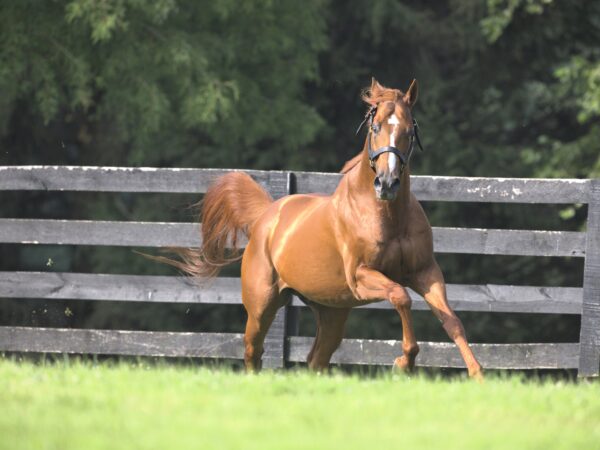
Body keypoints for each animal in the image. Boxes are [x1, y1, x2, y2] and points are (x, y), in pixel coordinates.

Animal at [156, 78, 482, 380]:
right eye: (375, 127)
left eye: (408, 132)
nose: (387, 184)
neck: (388, 215)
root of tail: (266, 215)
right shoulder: (361, 276)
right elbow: (401, 296)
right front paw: (404, 361)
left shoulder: (425, 272)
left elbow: (452, 322)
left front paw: (477, 374)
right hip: (262, 305)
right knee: (253, 351)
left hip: (331, 311)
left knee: (316, 359)